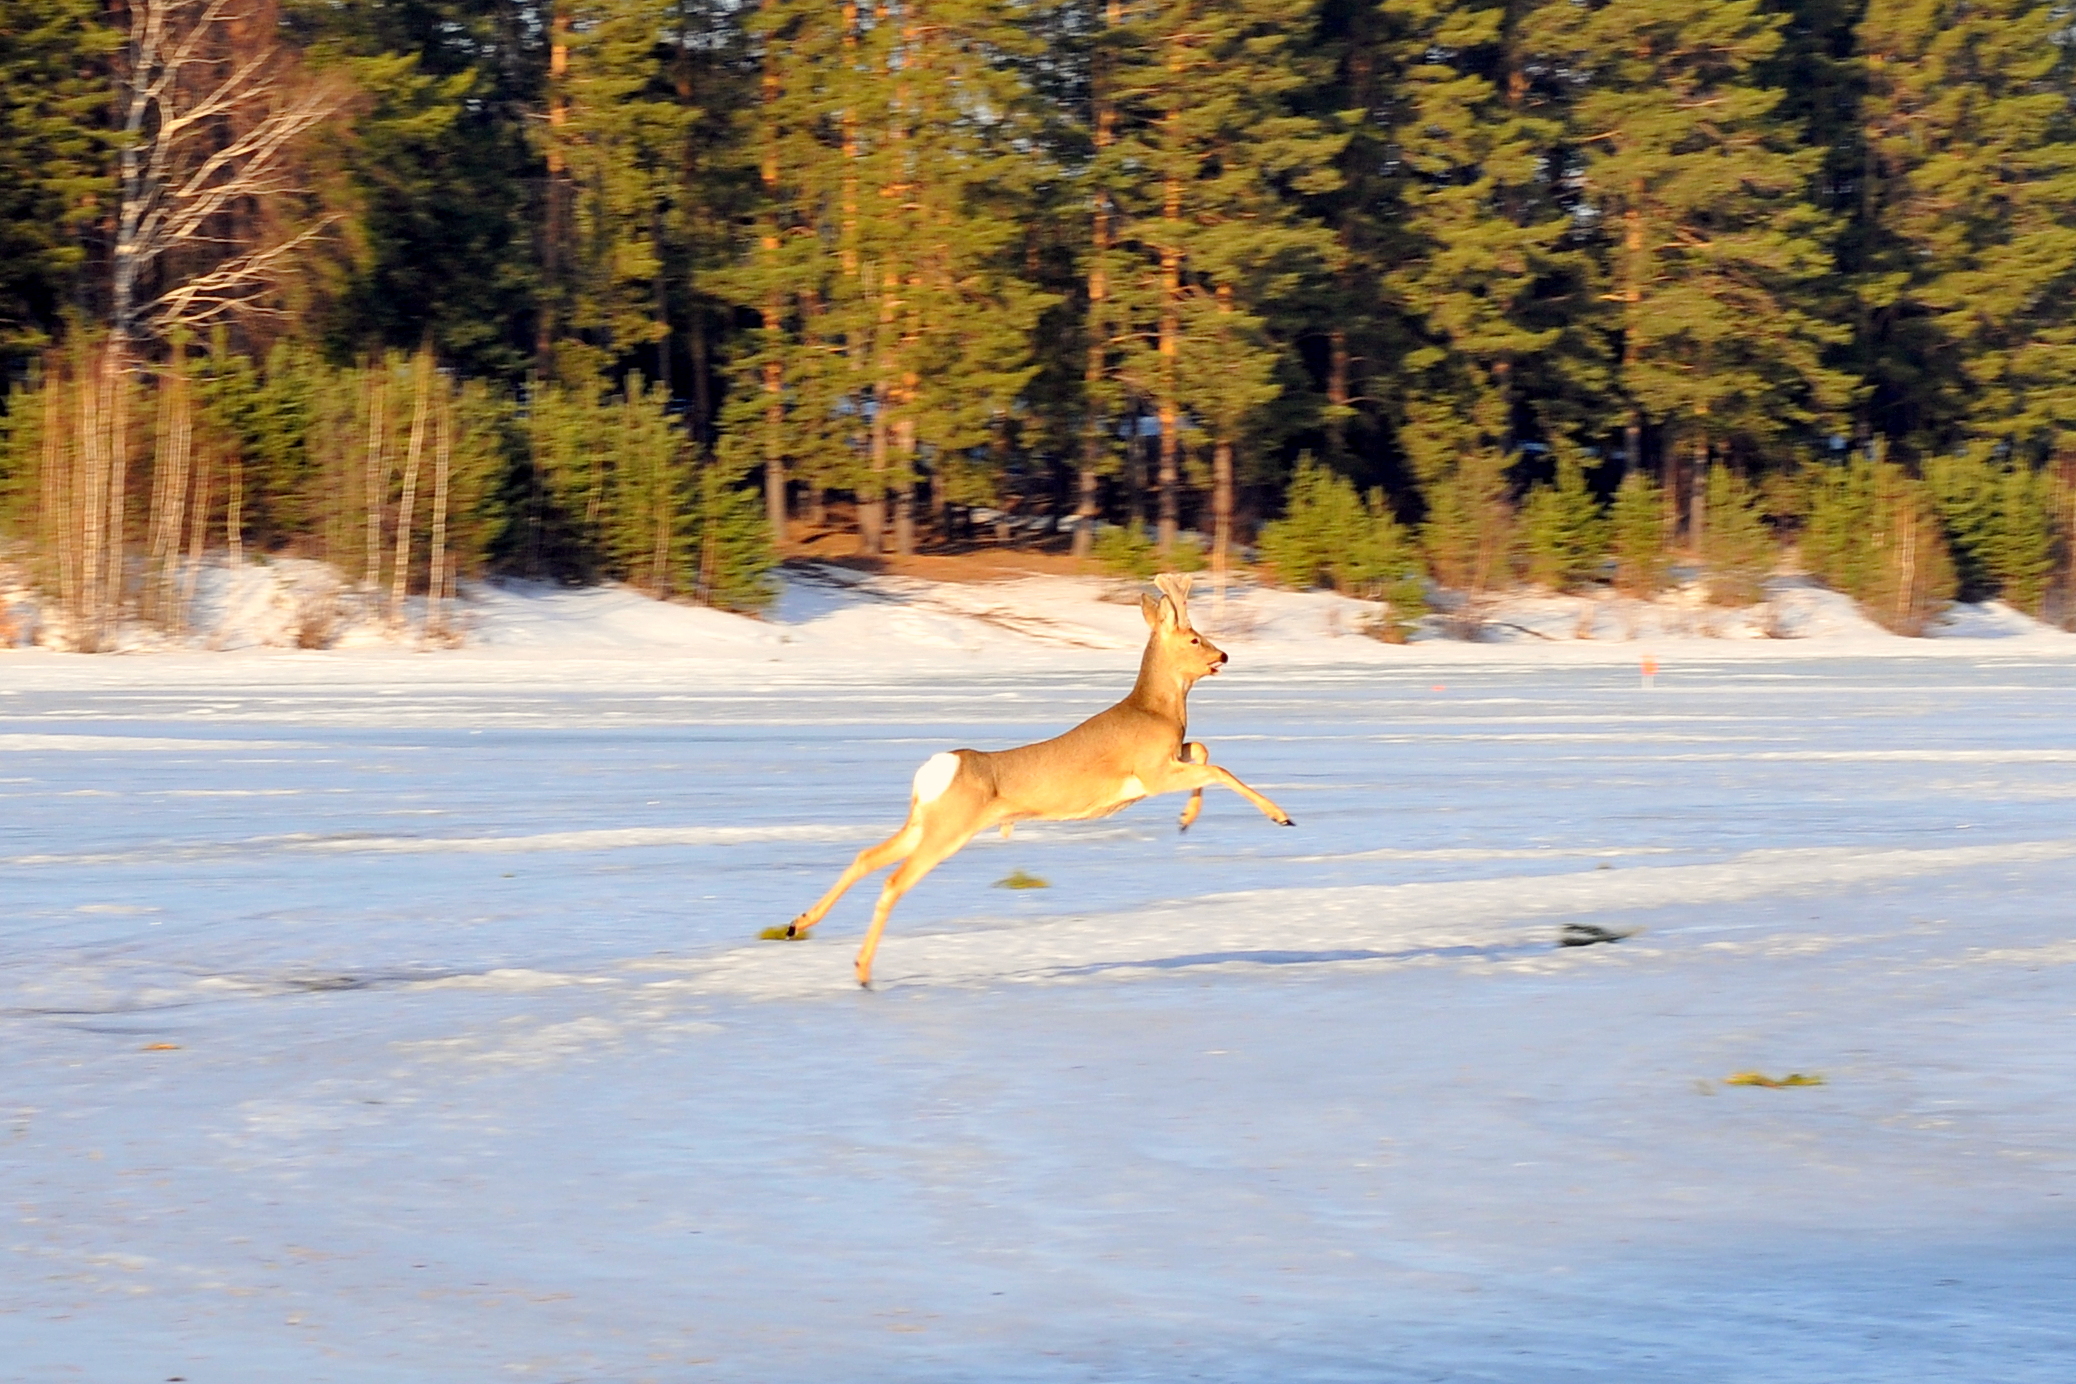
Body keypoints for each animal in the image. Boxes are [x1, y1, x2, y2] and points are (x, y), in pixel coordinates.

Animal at [772, 572, 1287, 983]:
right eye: (1195, 638)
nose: (1225, 654)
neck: (1158, 710)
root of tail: (936, 768)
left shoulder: (1169, 761)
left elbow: (1202, 749)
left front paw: (1185, 819)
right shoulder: (1150, 772)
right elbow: (1216, 765)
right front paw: (1280, 817)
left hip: (923, 821)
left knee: (865, 857)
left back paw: (799, 924)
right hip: (950, 827)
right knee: (895, 881)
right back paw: (860, 970)